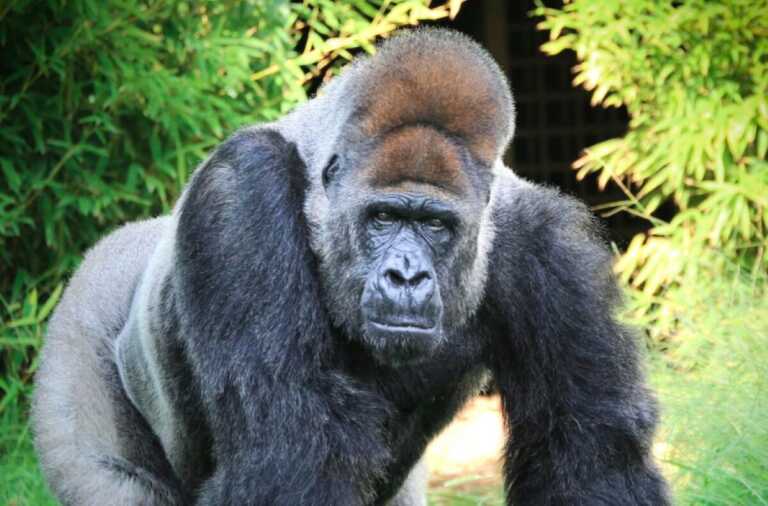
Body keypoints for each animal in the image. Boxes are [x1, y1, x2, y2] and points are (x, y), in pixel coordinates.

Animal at [32, 28, 669, 505]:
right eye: (382, 217)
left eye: (436, 226)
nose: (406, 276)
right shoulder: (240, 191)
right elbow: (291, 448)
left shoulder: (554, 248)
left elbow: (587, 463)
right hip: (76, 336)